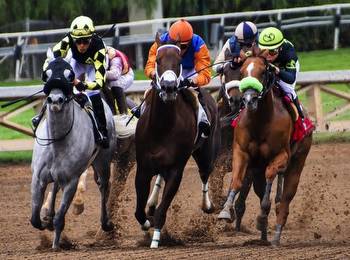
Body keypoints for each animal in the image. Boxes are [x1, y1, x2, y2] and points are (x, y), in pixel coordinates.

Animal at [30, 58, 117, 249]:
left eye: (70, 76)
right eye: (47, 74)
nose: (55, 100)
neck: (57, 141)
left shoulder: (71, 181)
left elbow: (60, 217)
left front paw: (56, 245)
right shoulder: (38, 178)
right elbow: (34, 219)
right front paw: (46, 221)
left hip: (102, 161)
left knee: (104, 186)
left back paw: (106, 223)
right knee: (55, 186)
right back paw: (48, 214)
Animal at [134, 38, 219, 248]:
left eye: (179, 60)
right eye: (157, 60)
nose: (169, 87)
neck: (162, 127)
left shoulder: (176, 170)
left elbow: (162, 210)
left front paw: (156, 240)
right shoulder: (143, 168)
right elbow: (139, 211)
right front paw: (146, 222)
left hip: (206, 153)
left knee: (205, 173)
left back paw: (207, 205)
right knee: (159, 178)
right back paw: (151, 203)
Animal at [219, 49, 312, 246]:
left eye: (263, 72)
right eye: (242, 72)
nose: (248, 99)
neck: (260, 121)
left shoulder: (281, 155)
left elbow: (270, 177)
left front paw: (262, 215)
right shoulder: (241, 152)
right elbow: (236, 180)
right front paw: (225, 211)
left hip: (297, 162)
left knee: (284, 200)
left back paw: (275, 236)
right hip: (256, 170)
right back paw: (263, 236)